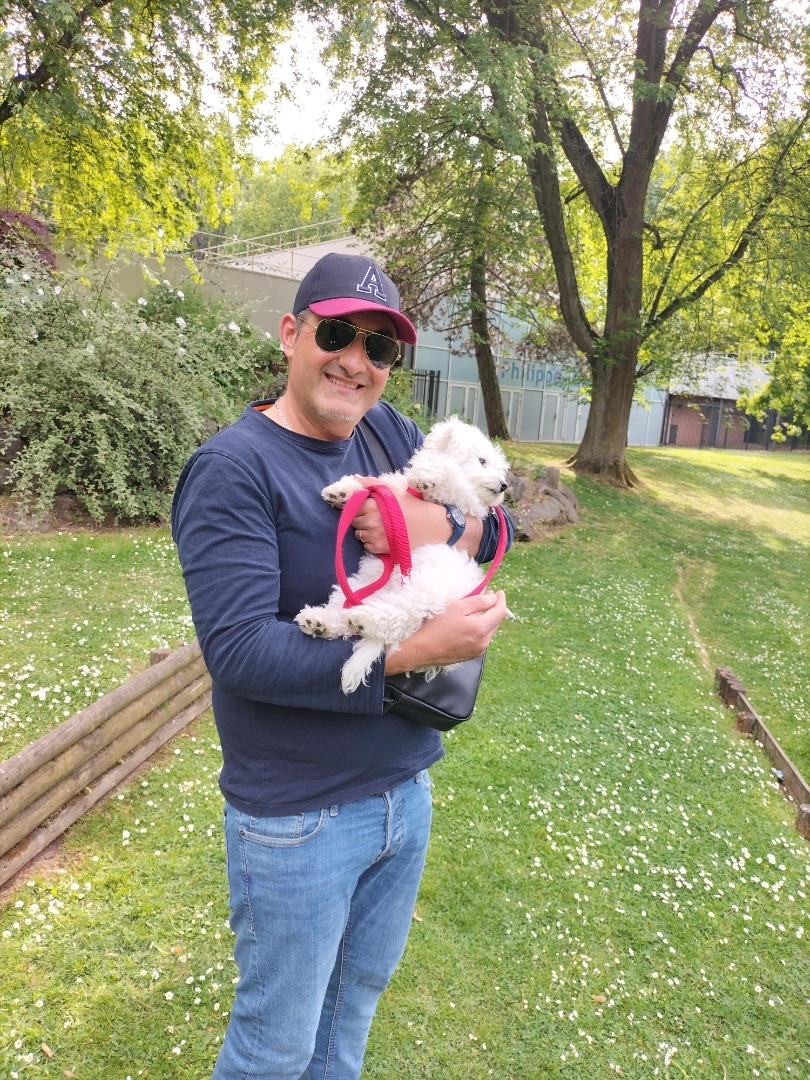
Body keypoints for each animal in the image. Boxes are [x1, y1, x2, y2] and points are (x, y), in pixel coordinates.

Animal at [295, 416, 510, 693]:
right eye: (482, 461)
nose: (504, 485)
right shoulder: (399, 486)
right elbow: (383, 483)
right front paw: (343, 490)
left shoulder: (466, 502)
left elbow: (452, 479)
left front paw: (427, 474)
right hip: (360, 585)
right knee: (344, 612)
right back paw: (319, 621)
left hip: (424, 591)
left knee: (397, 617)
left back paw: (363, 619)